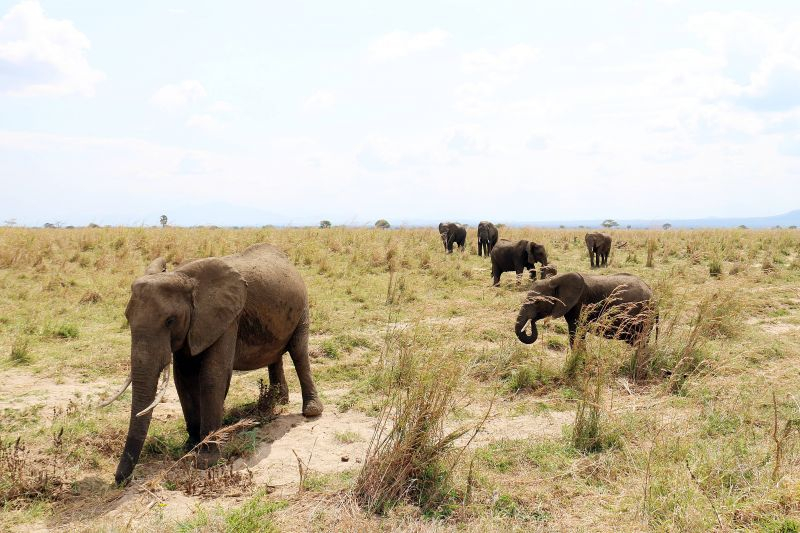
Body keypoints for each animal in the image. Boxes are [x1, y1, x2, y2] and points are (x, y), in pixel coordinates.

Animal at [104, 243, 324, 484]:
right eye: (127, 317)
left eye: (170, 320)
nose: (119, 480)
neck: (183, 278)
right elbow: (184, 379)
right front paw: (190, 446)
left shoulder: (226, 318)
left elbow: (212, 376)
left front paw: (205, 460)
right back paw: (278, 401)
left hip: (302, 306)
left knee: (299, 352)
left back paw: (311, 411)